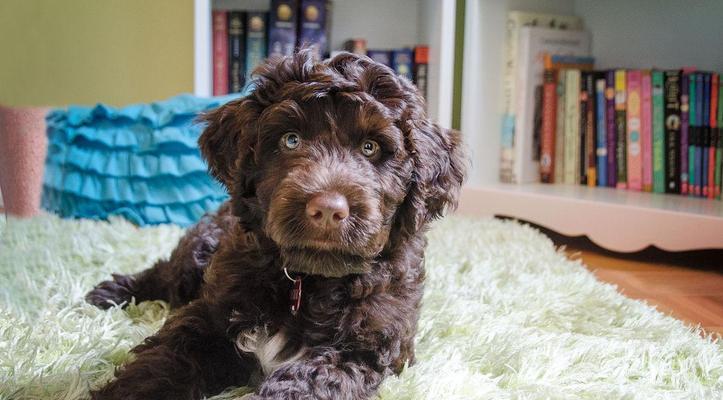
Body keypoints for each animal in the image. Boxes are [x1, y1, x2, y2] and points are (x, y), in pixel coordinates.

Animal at [86, 50, 464, 400]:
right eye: (291, 140)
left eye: (370, 147)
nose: (328, 209)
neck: (305, 281)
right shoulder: (209, 314)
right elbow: (165, 362)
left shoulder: (364, 349)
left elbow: (306, 383)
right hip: (201, 253)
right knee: (166, 274)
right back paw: (109, 293)